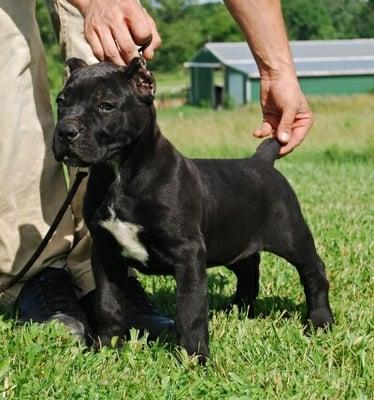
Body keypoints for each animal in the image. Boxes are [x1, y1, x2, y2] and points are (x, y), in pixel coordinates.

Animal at [52, 57, 334, 362]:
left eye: (106, 105)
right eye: (61, 102)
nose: (65, 131)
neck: (119, 173)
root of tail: (261, 160)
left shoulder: (187, 254)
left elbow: (191, 309)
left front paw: (194, 358)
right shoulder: (105, 252)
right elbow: (108, 302)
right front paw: (106, 348)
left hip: (291, 235)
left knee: (313, 272)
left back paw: (320, 322)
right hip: (231, 241)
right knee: (249, 269)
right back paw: (238, 310)